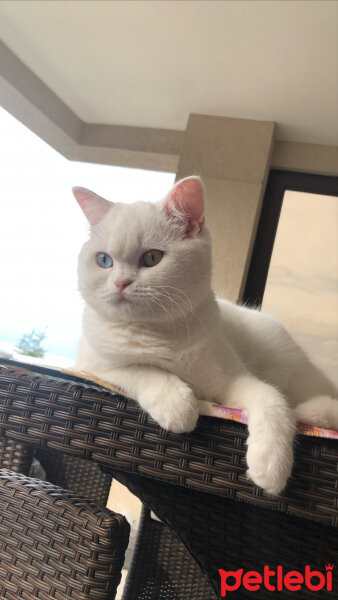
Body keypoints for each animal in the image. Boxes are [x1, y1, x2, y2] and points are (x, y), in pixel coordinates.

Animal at [74, 176, 338, 494]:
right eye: (104, 260)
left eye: (152, 257)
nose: (120, 283)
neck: (161, 332)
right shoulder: (92, 366)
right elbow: (143, 369)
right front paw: (178, 404)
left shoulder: (233, 380)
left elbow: (273, 400)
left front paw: (270, 465)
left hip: (288, 367)